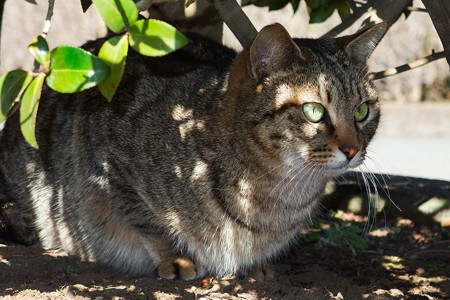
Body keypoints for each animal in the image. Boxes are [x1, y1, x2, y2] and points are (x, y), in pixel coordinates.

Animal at [0, 22, 386, 280]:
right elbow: (143, 216)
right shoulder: (107, 160)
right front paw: (175, 257)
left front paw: (256, 266)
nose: (353, 150)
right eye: (314, 111)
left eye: (362, 111)